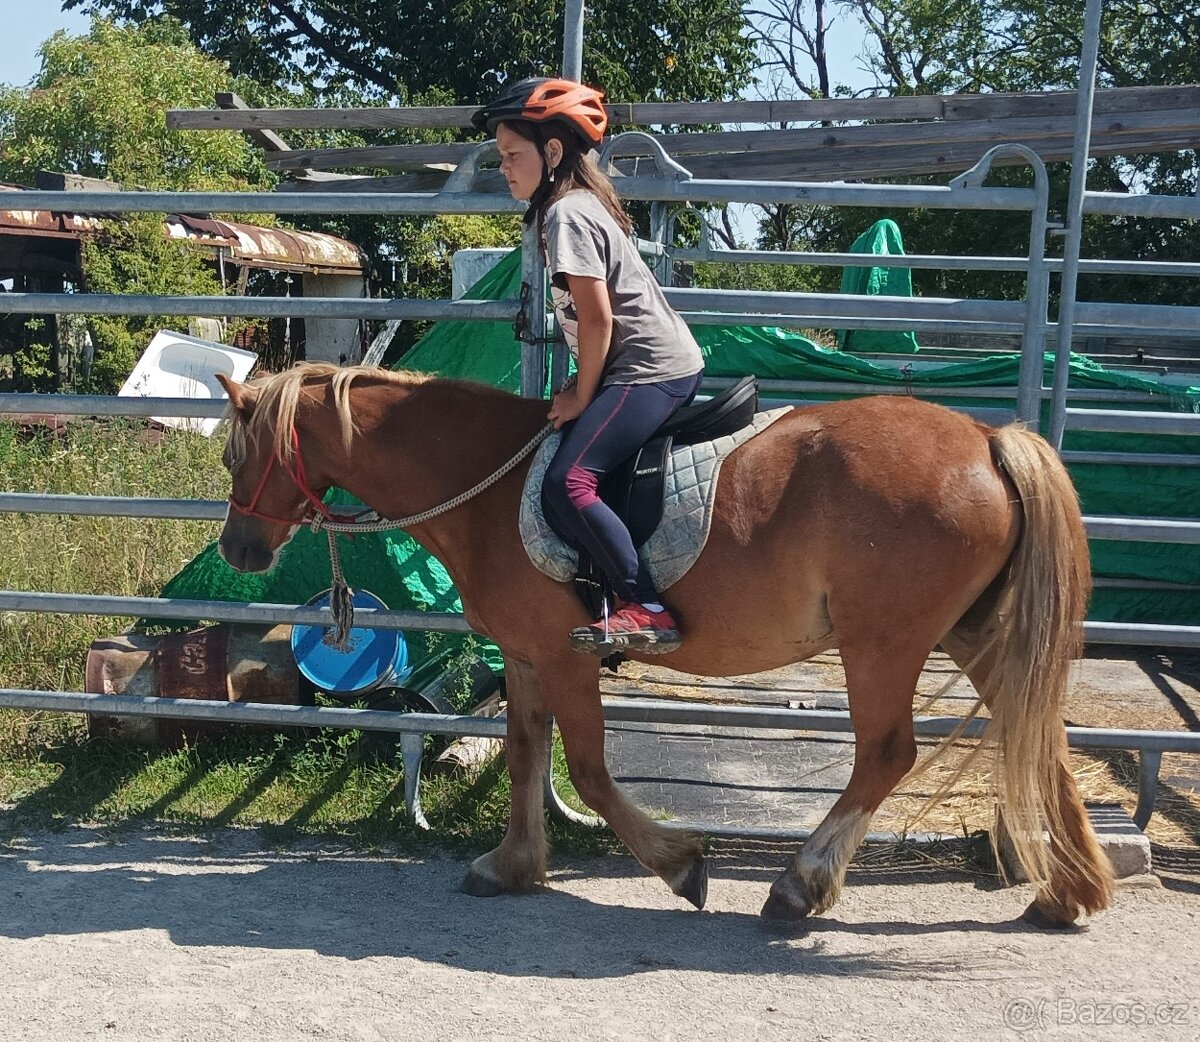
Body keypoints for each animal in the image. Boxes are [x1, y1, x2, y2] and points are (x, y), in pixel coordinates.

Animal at [215, 363, 1114, 928]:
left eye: (235, 455)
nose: (237, 549)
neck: (486, 483)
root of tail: (987, 440)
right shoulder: (527, 657)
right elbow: (525, 755)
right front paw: (513, 866)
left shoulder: (567, 655)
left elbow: (586, 772)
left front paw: (681, 865)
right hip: (974, 635)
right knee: (1042, 738)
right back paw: (1065, 895)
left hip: (883, 645)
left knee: (887, 755)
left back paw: (799, 889)